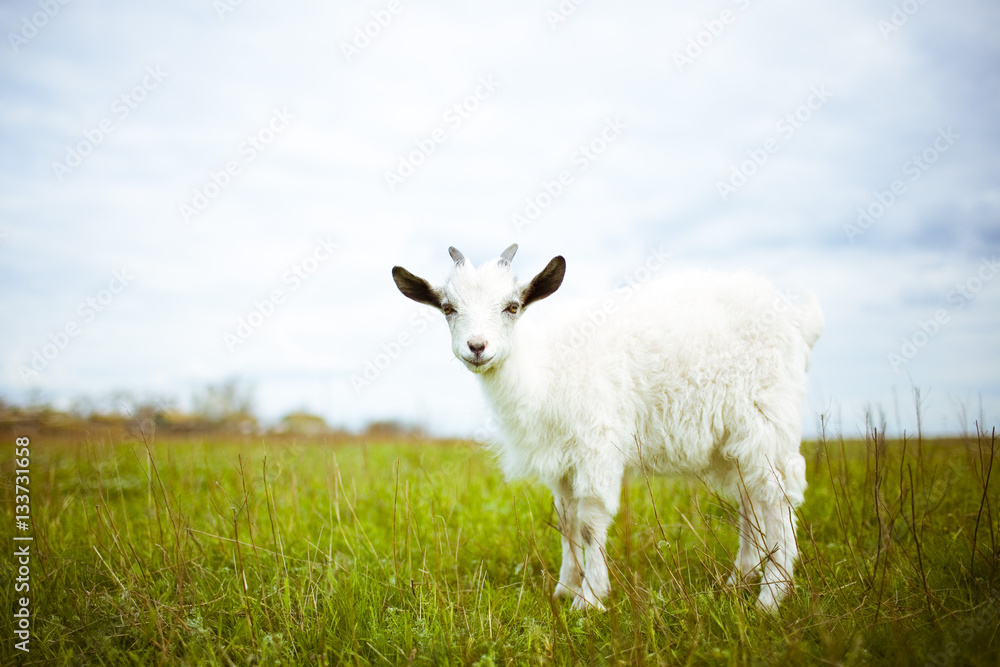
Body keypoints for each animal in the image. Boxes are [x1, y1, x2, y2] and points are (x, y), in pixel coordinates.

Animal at [392, 244, 823, 611]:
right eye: (448, 307)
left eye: (512, 307)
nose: (477, 347)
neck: (544, 371)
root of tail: (798, 321)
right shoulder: (560, 460)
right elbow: (565, 520)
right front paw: (564, 589)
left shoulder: (596, 446)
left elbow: (588, 522)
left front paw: (590, 599)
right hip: (734, 439)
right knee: (751, 498)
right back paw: (739, 580)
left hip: (766, 417)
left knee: (779, 495)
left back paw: (770, 596)